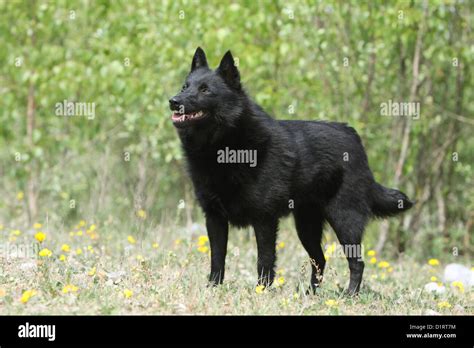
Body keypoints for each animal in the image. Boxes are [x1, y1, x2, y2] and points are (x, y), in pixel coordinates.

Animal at [168, 47, 412, 294]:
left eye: (205, 89)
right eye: (185, 86)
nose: (173, 101)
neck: (224, 146)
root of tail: (353, 136)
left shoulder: (264, 219)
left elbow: (264, 260)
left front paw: (261, 292)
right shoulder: (214, 217)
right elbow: (217, 258)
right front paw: (213, 288)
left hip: (345, 220)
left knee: (356, 262)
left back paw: (349, 295)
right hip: (306, 225)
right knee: (320, 260)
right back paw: (310, 295)